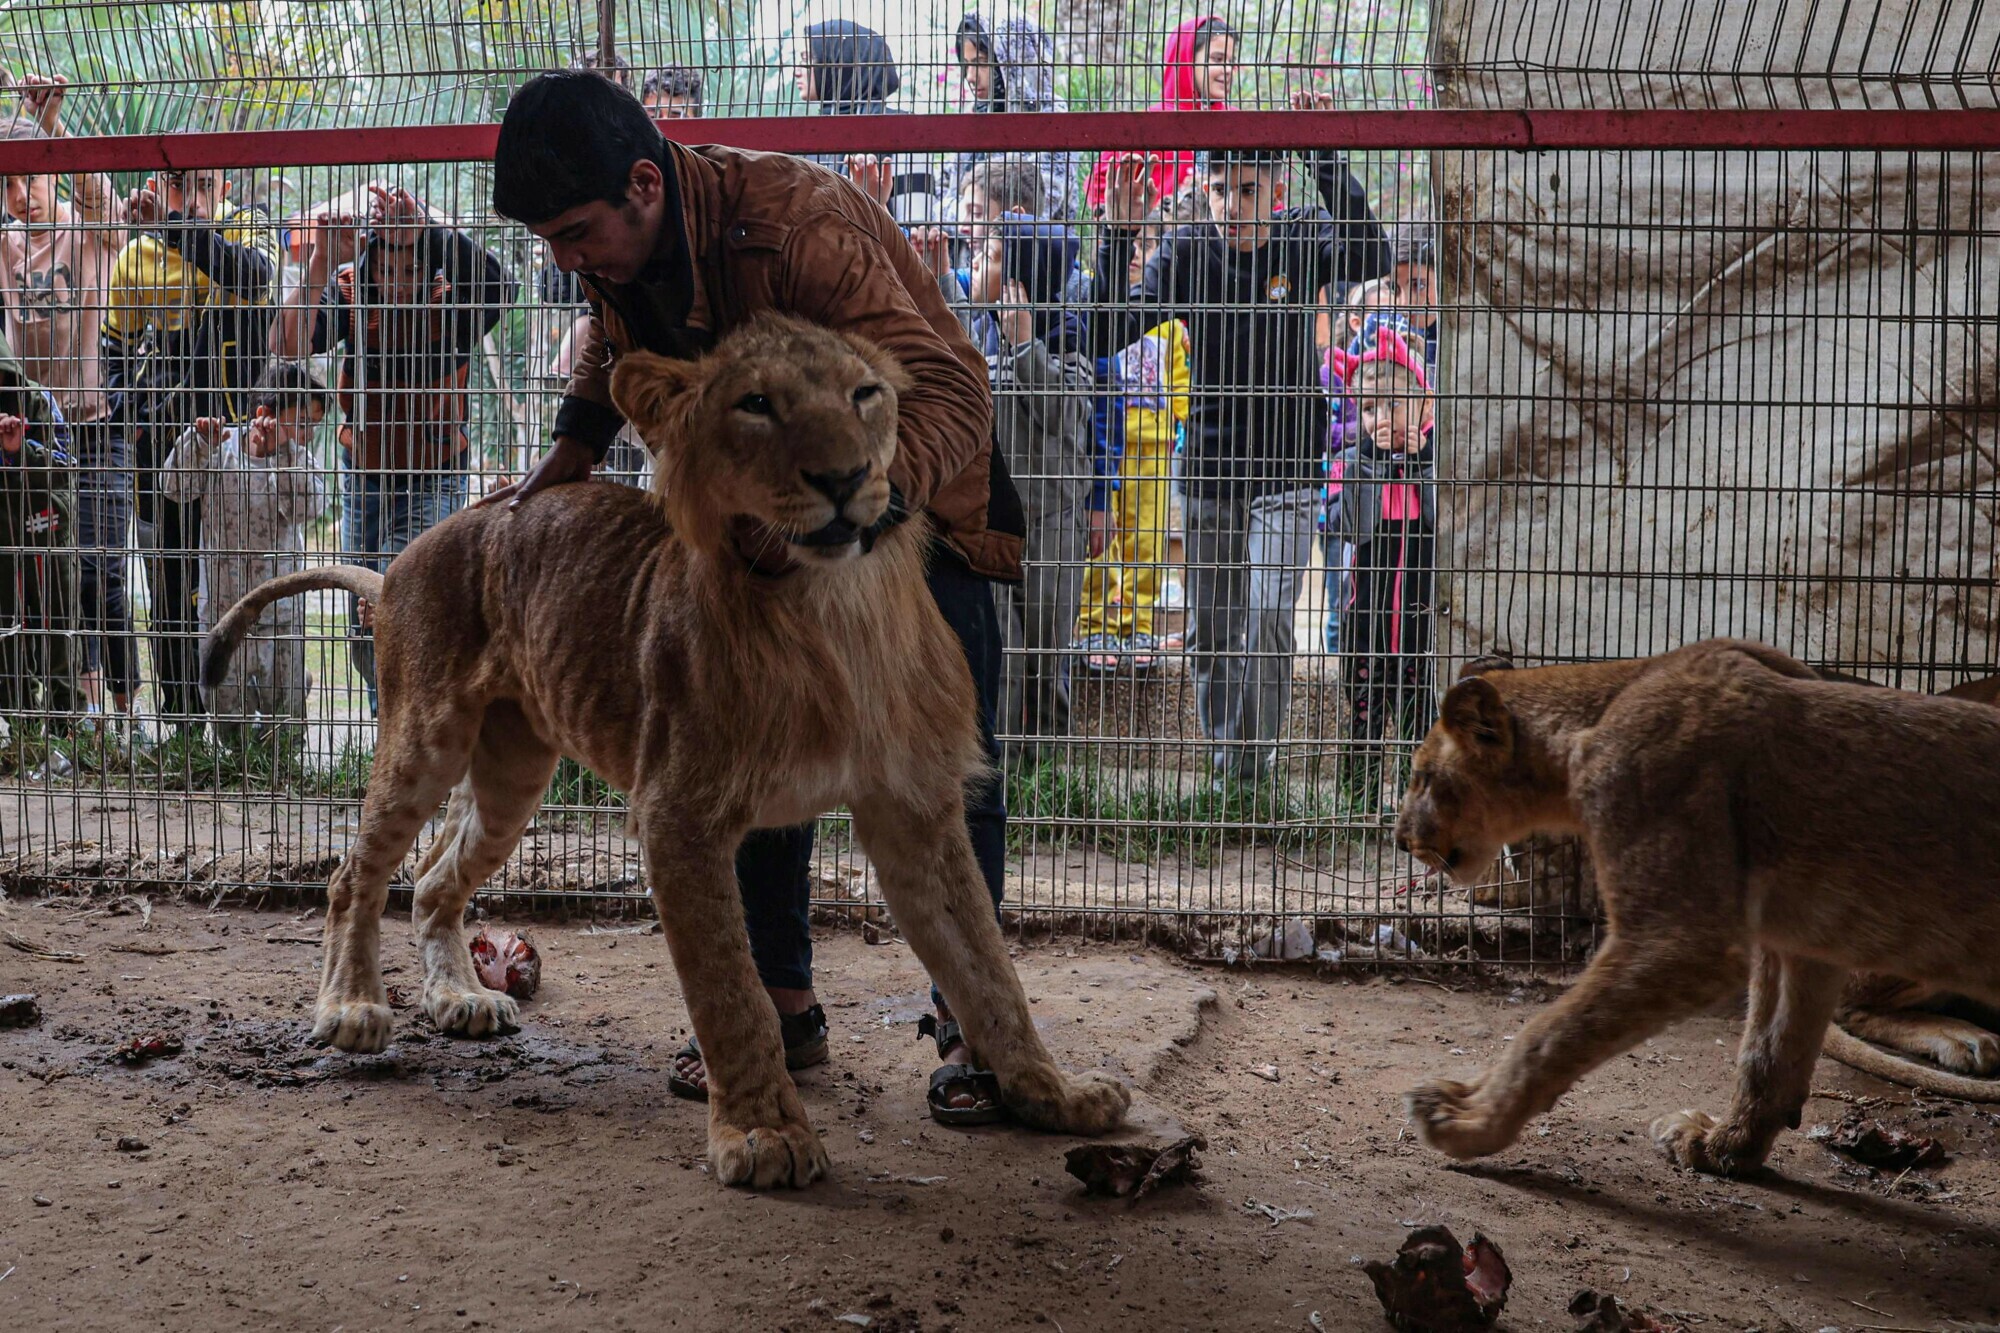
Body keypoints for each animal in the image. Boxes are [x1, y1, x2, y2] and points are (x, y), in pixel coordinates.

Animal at [201, 313, 1130, 1189]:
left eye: (865, 394)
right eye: (755, 403)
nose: (842, 479)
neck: (835, 609)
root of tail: (404, 557)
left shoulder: (915, 811)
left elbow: (990, 971)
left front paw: (1055, 1094)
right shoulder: (679, 810)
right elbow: (732, 991)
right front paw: (764, 1133)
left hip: (513, 773)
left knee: (433, 880)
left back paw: (461, 997)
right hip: (425, 735)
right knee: (353, 872)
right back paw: (352, 1007)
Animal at [1392, 638, 2000, 1176]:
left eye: (1422, 776)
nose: (1399, 840)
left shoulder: (1683, 938)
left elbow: (1550, 1033)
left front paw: (1464, 1121)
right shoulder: (1798, 939)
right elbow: (1769, 1051)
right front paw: (1723, 1150)